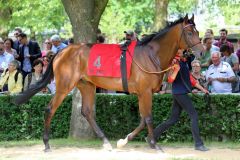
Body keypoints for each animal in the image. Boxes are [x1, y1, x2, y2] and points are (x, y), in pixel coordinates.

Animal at [13, 14, 203, 151]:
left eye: (198, 32)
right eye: (190, 33)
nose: (201, 52)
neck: (151, 55)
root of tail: (62, 51)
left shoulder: (143, 93)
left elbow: (143, 119)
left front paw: (124, 141)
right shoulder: (145, 92)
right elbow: (148, 118)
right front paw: (155, 144)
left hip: (87, 85)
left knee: (87, 112)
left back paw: (106, 142)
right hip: (64, 86)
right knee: (50, 109)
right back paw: (46, 144)